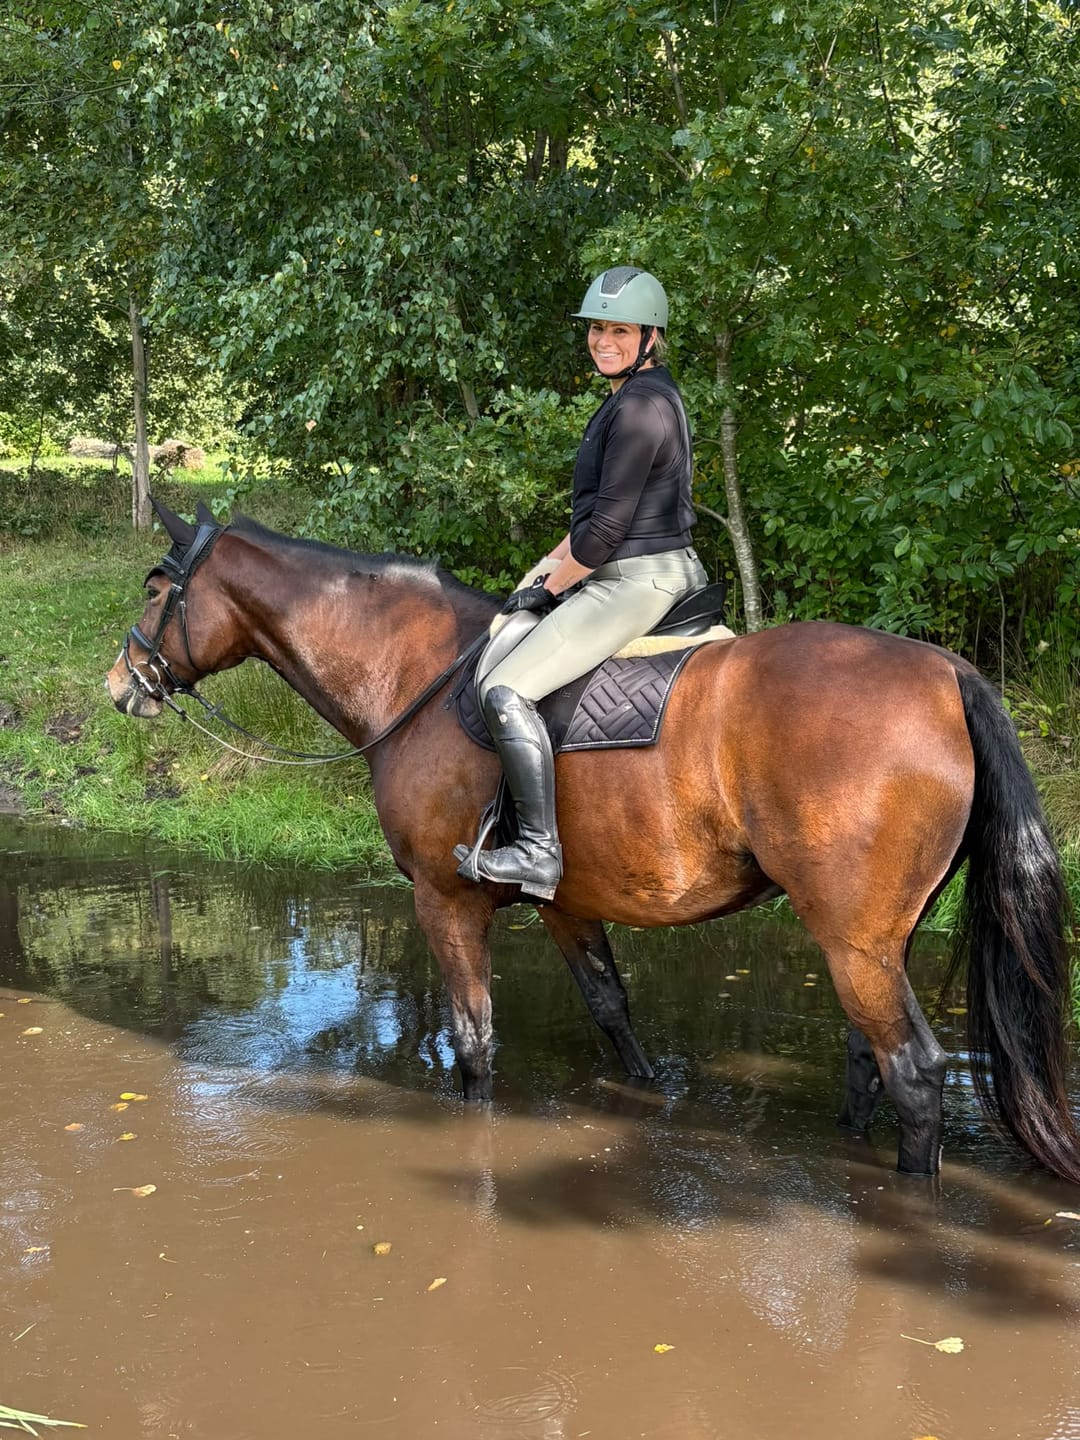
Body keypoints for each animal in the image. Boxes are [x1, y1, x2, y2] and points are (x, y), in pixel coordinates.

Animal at [105, 501, 1080, 1183]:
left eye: (155, 588)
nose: (121, 684)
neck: (416, 676)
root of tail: (948, 672)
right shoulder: (566, 903)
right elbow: (613, 1013)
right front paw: (647, 1097)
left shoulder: (445, 903)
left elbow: (474, 1044)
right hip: (878, 940)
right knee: (868, 1060)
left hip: (854, 940)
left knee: (913, 1071)